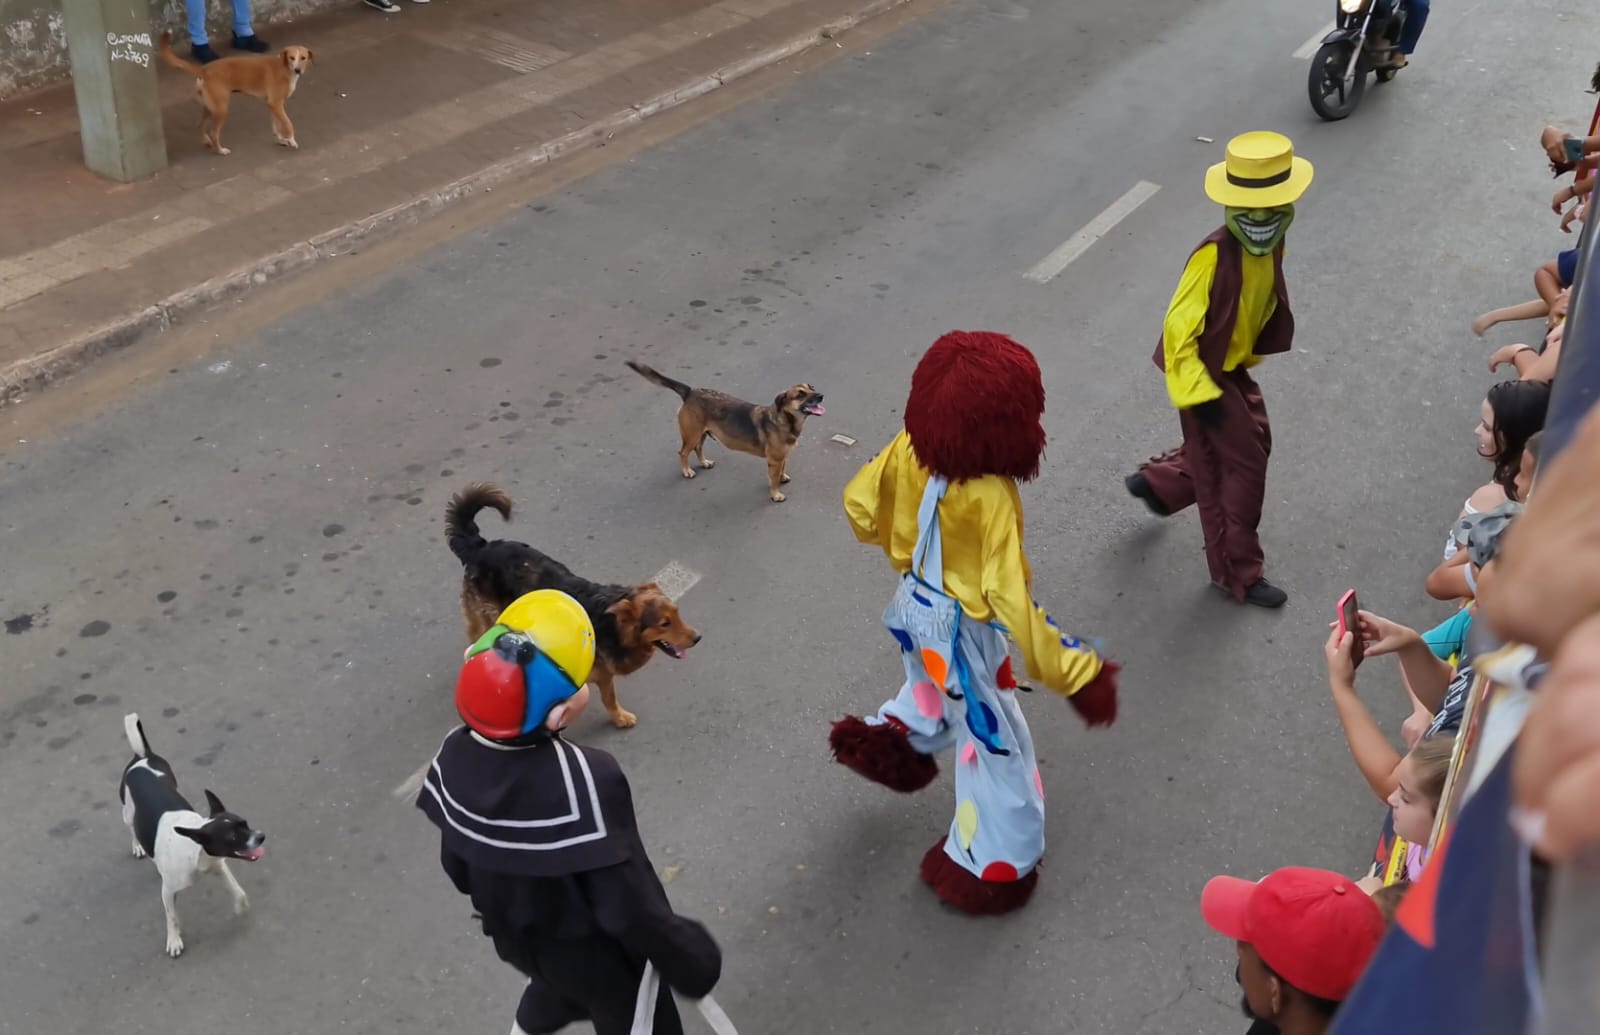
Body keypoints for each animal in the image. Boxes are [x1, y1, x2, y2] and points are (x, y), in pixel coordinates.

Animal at [118, 716, 265, 959]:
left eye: (245, 823)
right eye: (232, 836)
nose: (261, 837)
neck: (197, 850)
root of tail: (142, 757)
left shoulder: (219, 866)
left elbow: (238, 892)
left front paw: (240, 907)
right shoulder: (167, 892)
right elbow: (172, 917)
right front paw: (174, 939)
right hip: (128, 813)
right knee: (131, 828)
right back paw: (138, 846)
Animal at [158, 31, 312, 155]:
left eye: (303, 58)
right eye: (292, 57)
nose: (298, 70)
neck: (284, 67)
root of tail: (204, 69)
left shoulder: (273, 105)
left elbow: (277, 125)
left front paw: (281, 140)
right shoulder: (276, 103)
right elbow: (288, 123)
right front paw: (292, 140)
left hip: (210, 108)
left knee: (200, 124)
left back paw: (207, 141)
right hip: (221, 109)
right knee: (214, 133)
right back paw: (220, 150)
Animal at [448, 486, 704, 729]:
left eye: (677, 613)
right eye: (664, 623)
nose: (698, 638)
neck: (614, 627)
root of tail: (481, 547)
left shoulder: (601, 676)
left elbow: (609, 698)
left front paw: (618, 717)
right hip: (486, 617)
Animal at [624, 359, 825, 502]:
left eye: (812, 388)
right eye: (800, 394)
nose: (822, 395)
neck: (786, 420)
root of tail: (690, 392)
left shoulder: (782, 457)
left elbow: (782, 468)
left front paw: (782, 478)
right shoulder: (774, 460)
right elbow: (773, 479)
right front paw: (775, 494)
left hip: (701, 433)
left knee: (698, 448)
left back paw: (704, 463)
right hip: (691, 434)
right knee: (683, 452)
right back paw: (687, 471)